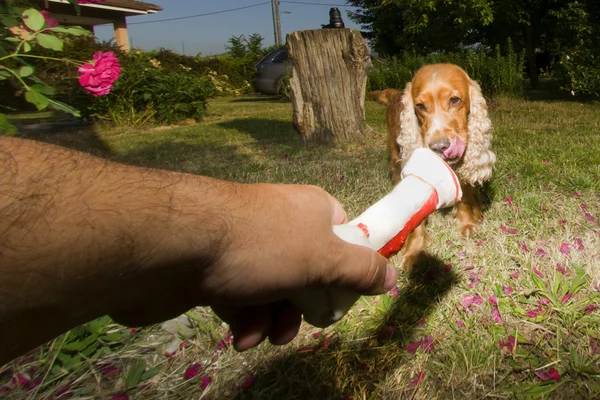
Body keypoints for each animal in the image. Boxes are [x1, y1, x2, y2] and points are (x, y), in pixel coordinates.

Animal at [372, 64, 494, 270]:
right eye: (420, 106)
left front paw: (467, 224)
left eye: (454, 100)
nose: (439, 147)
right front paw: (413, 253)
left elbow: (465, 195)